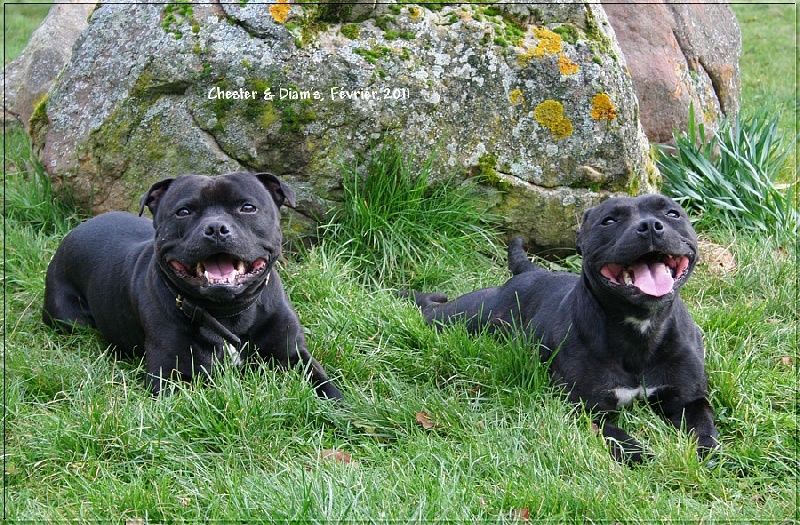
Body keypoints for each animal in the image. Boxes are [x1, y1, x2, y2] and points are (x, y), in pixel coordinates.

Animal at [43, 171, 343, 399]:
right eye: (183, 211)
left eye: (247, 207)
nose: (216, 228)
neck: (226, 314)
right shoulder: (169, 376)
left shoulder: (294, 356)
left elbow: (326, 388)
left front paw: (341, 412)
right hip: (68, 319)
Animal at [409, 194, 718, 464]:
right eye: (609, 220)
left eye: (672, 213)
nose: (651, 226)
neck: (642, 327)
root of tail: (531, 271)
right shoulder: (589, 409)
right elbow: (618, 436)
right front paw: (641, 456)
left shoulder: (688, 399)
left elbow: (705, 428)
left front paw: (709, 454)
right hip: (464, 314)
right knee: (430, 308)